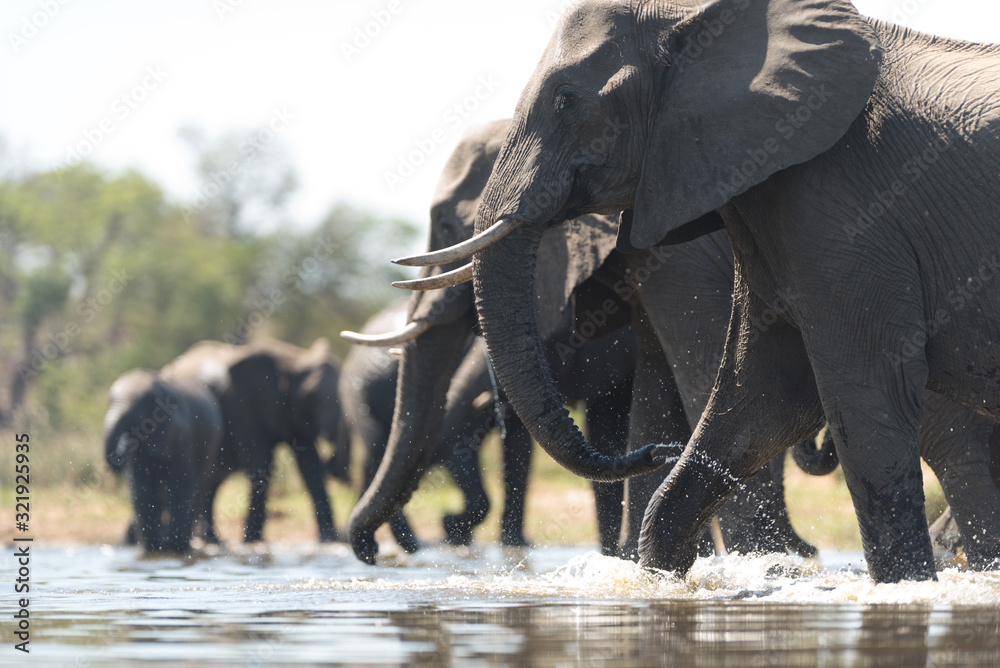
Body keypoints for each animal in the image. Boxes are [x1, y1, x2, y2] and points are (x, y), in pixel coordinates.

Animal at [104, 367, 223, 552]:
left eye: (139, 412)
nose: (120, 455)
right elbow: (142, 490)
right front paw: (152, 549)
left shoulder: (181, 435)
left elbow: (180, 486)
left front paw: (174, 547)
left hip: (211, 446)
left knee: (198, 490)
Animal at [168, 337, 343, 543]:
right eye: (312, 396)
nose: (332, 465)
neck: (293, 359)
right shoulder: (246, 405)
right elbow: (261, 462)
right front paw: (251, 540)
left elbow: (310, 465)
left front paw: (329, 538)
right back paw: (210, 540)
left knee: (211, 483)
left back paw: (212, 539)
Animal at [345, 119, 818, 564]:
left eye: (446, 225)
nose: (372, 554)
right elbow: (649, 392)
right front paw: (632, 562)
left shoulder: (683, 259)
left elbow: (706, 379)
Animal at [412, 0, 1000, 581]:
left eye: (565, 98)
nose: (659, 452)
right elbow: (761, 395)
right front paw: (666, 577)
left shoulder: (843, 212)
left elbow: (862, 391)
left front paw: (895, 587)